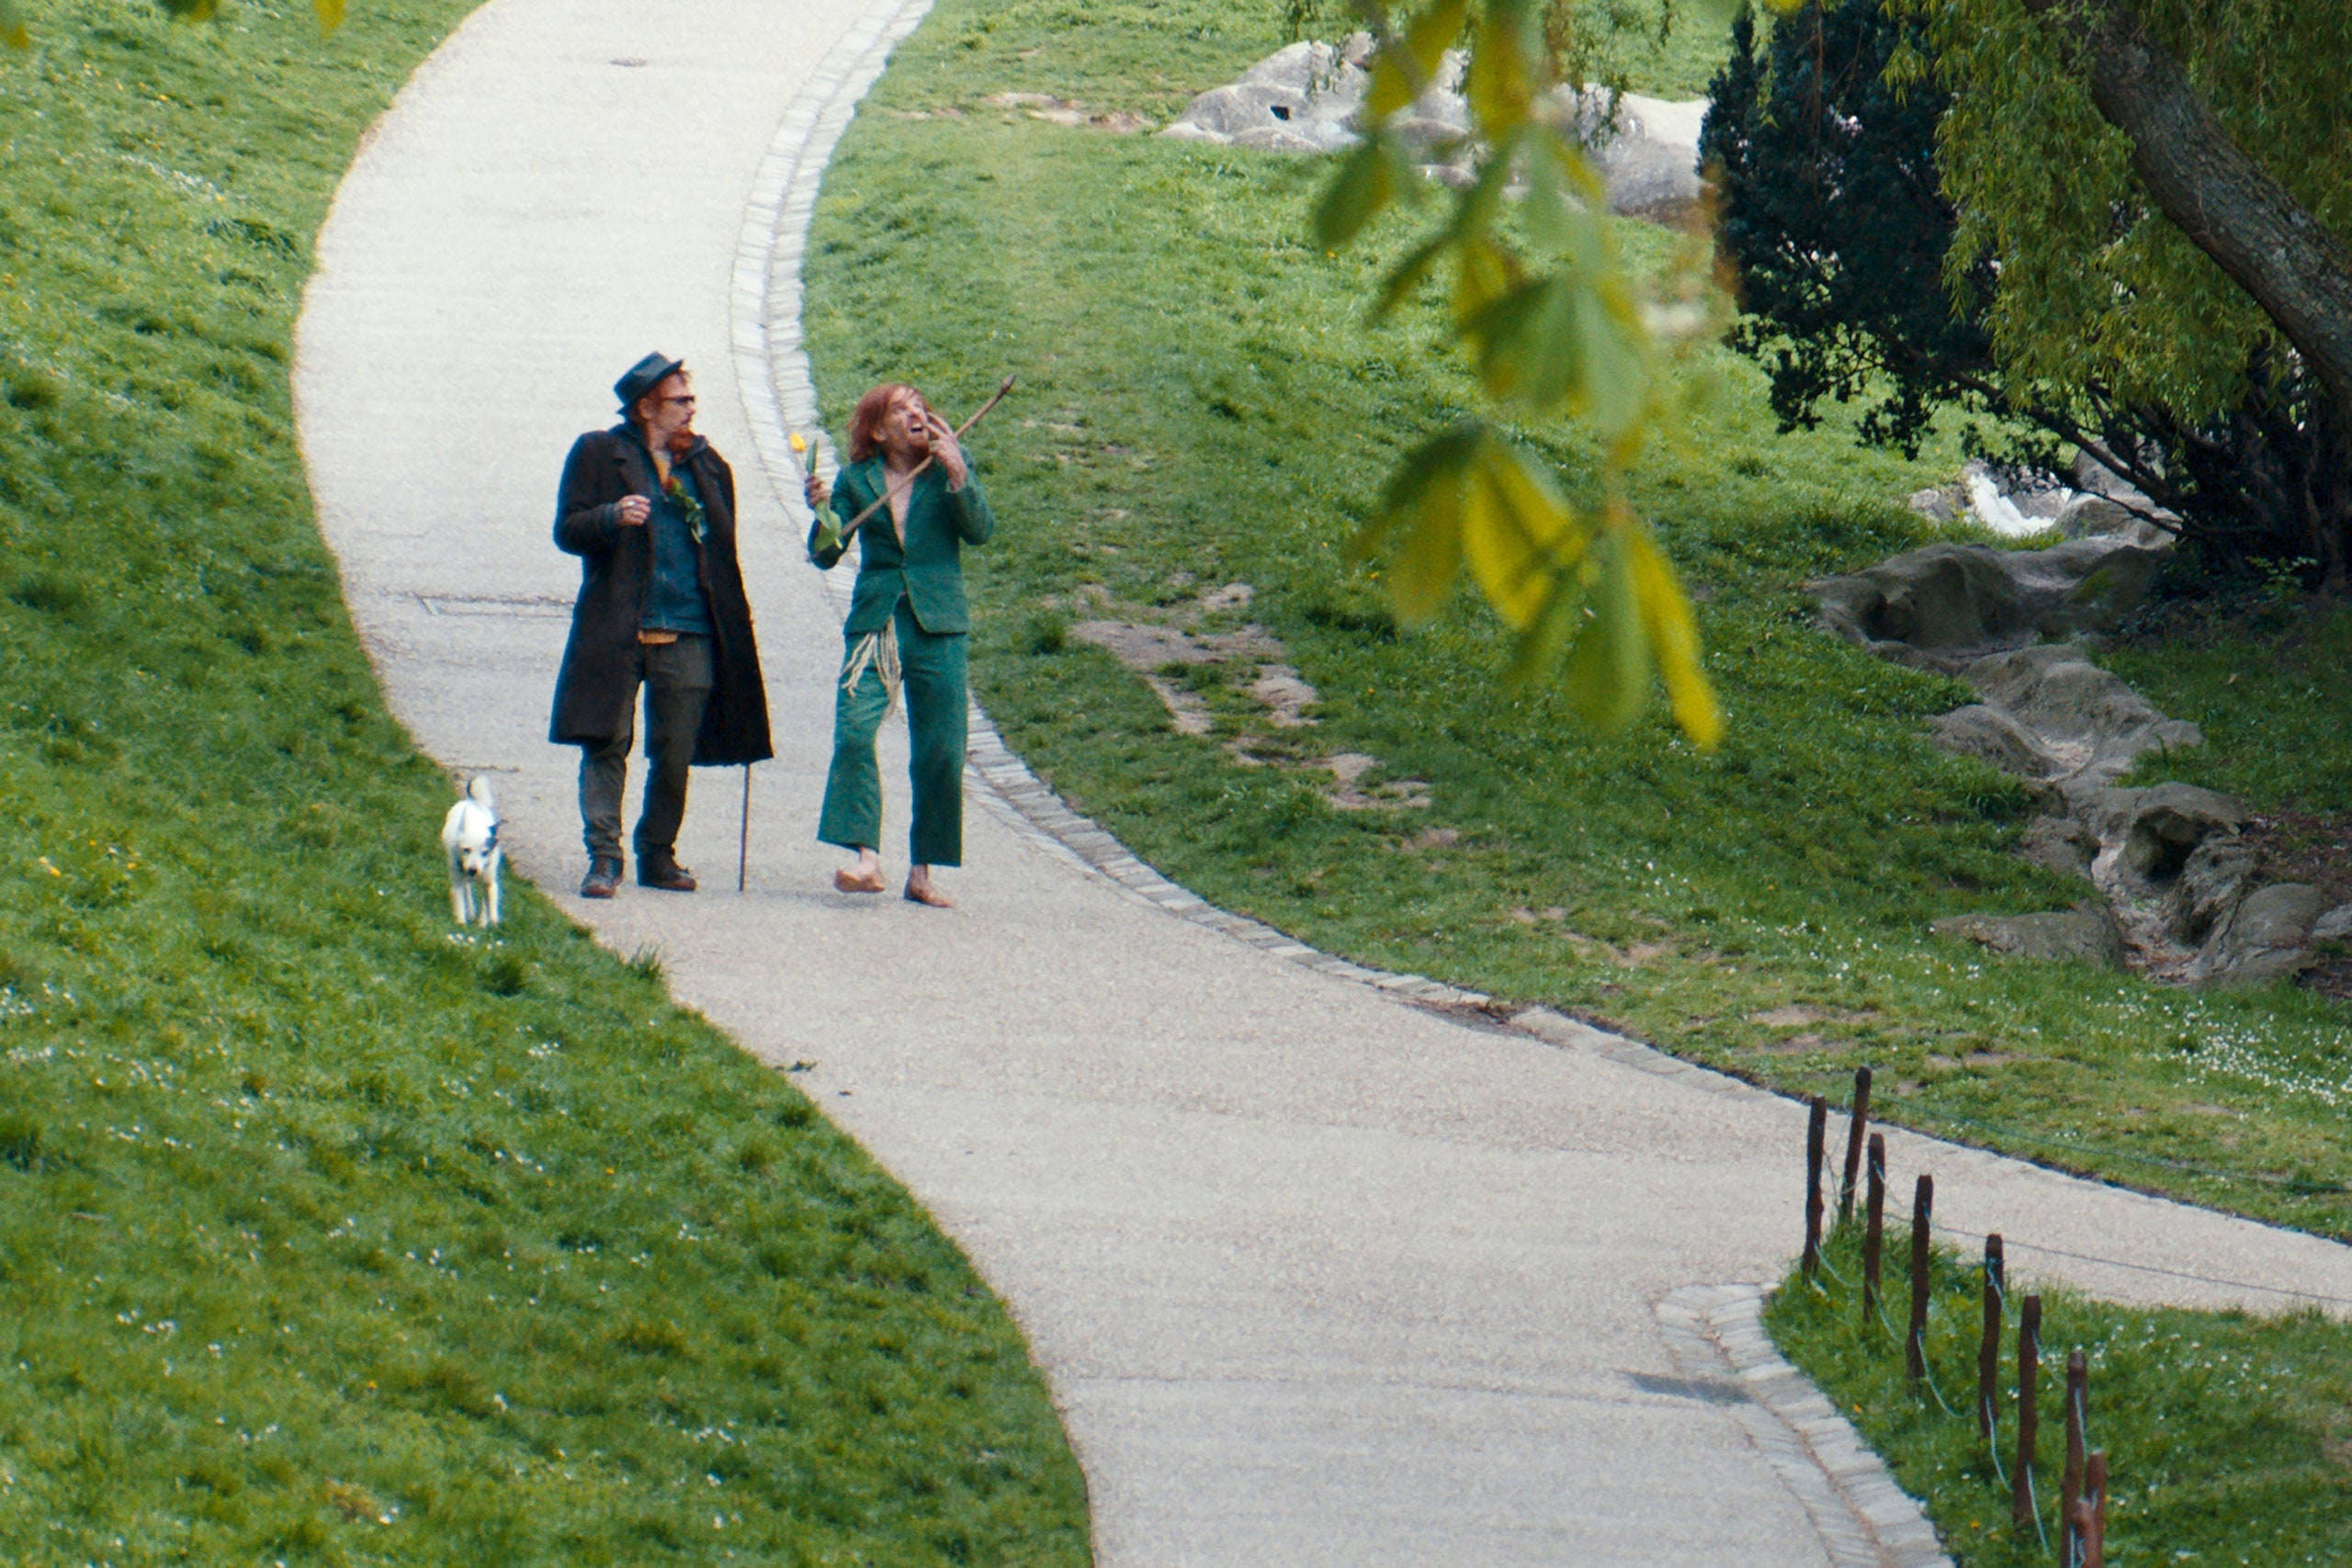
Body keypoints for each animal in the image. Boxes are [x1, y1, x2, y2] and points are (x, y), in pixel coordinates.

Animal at [442, 775, 501, 926]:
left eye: (485, 852)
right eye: (466, 849)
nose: (473, 870)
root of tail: (472, 800)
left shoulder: (489, 881)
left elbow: (489, 901)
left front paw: (488, 922)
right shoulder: (457, 879)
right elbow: (459, 900)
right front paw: (461, 922)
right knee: (467, 890)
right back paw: (471, 911)